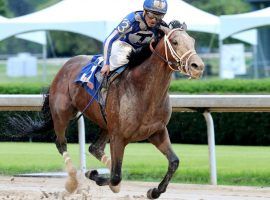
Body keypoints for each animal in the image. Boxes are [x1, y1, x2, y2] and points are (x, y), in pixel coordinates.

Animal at [8, 25, 204, 199]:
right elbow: (116, 176)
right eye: (175, 41)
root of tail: (66, 65)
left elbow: (174, 162)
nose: (198, 66)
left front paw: (154, 191)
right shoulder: (119, 136)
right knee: (61, 143)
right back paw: (73, 181)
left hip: (105, 124)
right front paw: (94, 175)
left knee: (94, 148)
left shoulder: (157, 132)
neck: (142, 90)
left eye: (193, 41)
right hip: (62, 114)